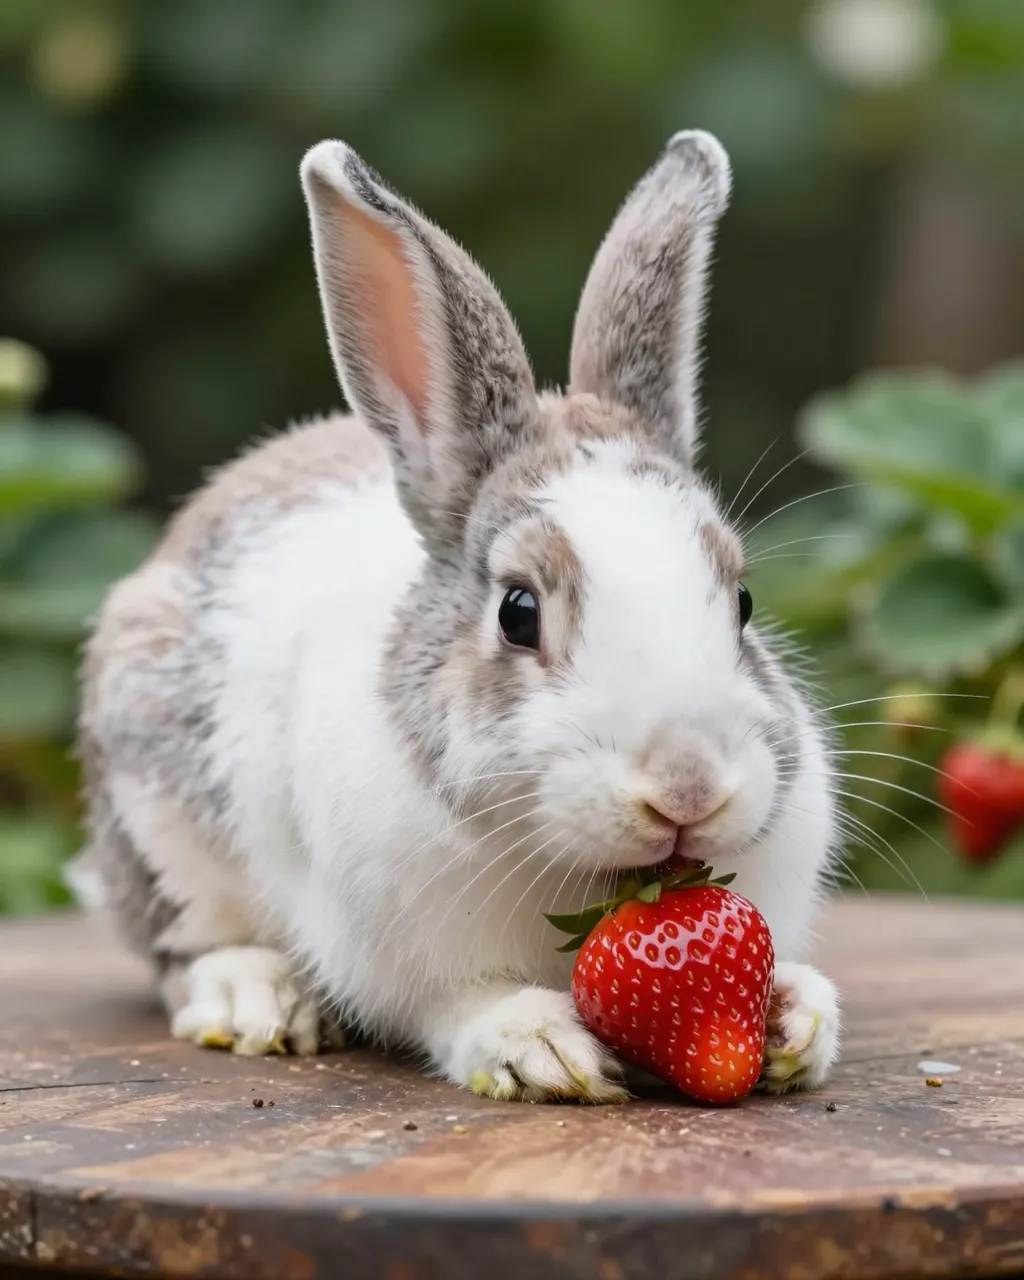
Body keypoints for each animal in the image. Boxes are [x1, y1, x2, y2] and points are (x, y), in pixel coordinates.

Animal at [73, 129, 841, 1102]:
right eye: (518, 612)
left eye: (742, 603)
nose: (687, 789)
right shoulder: (398, 959)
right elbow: (456, 1006)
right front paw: (542, 1051)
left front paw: (797, 1025)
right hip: (156, 811)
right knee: (182, 948)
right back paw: (257, 999)